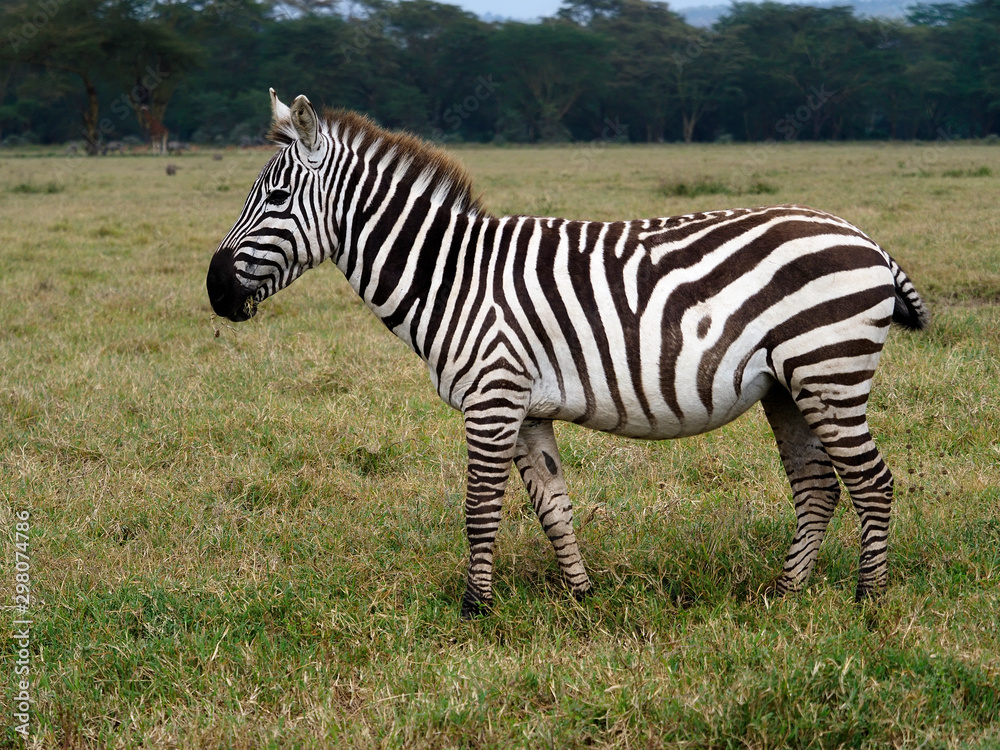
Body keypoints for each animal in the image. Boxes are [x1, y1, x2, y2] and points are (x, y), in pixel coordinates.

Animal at [207, 90, 930, 618]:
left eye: (275, 198)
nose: (214, 290)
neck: (453, 275)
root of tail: (865, 239)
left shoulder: (492, 397)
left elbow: (479, 510)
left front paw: (475, 611)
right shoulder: (526, 408)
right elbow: (553, 507)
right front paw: (583, 599)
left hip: (829, 369)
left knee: (872, 480)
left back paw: (867, 601)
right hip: (788, 386)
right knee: (818, 484)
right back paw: (785, 595)